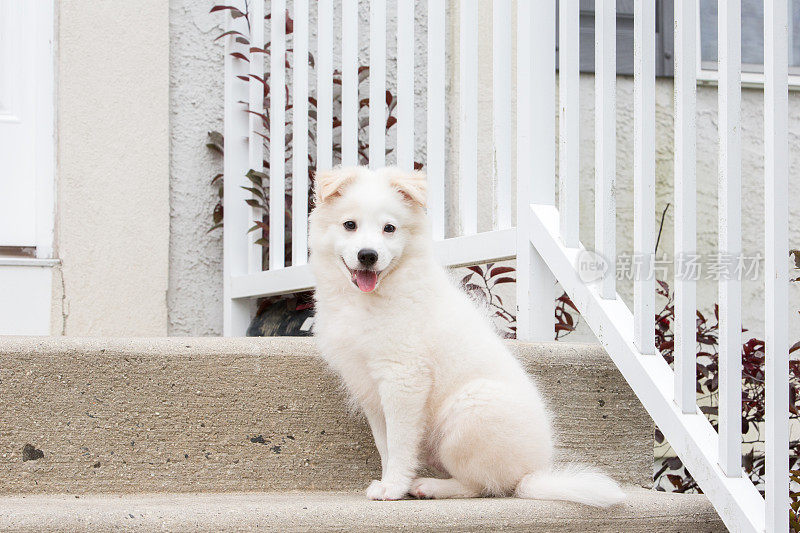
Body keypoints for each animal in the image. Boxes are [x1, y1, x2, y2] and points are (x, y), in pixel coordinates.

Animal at [310, 164, 628, 504]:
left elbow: (399, 443)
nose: (367, 255)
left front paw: (394, 487)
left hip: (468, 414)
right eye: (350, 225)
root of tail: (530, 474)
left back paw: (430, 487)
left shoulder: (403, 378)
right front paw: (389, 481)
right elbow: (385, 444)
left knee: (482, 485)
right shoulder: (369, 387)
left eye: (389, 228)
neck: (367, 299)